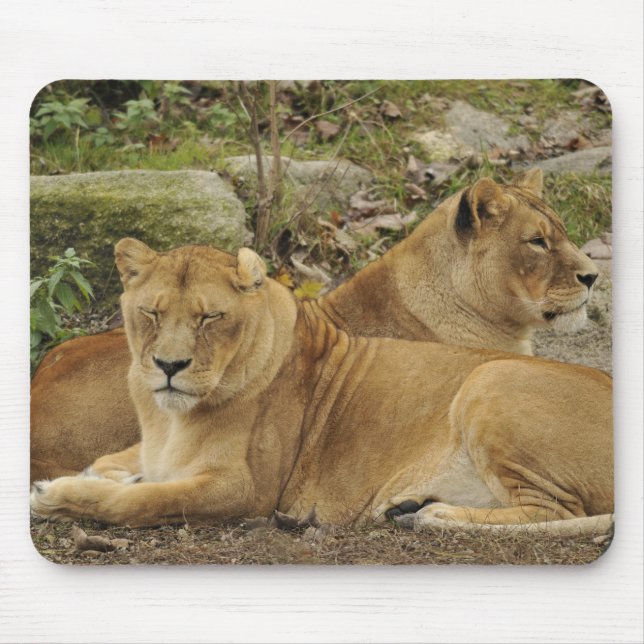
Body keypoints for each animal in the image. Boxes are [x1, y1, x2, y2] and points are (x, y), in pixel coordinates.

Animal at [30, 238, 612, 537]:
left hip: (490, 379)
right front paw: (104, 475)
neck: (168, 415)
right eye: (151, 312)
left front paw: (58, 496)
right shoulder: (152, 448)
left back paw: (434, 515)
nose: (168, 365)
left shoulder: (248, 491)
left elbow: (144, 502)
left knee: (558, 512)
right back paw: (411, 507)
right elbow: (115, 464)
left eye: (209, 317)